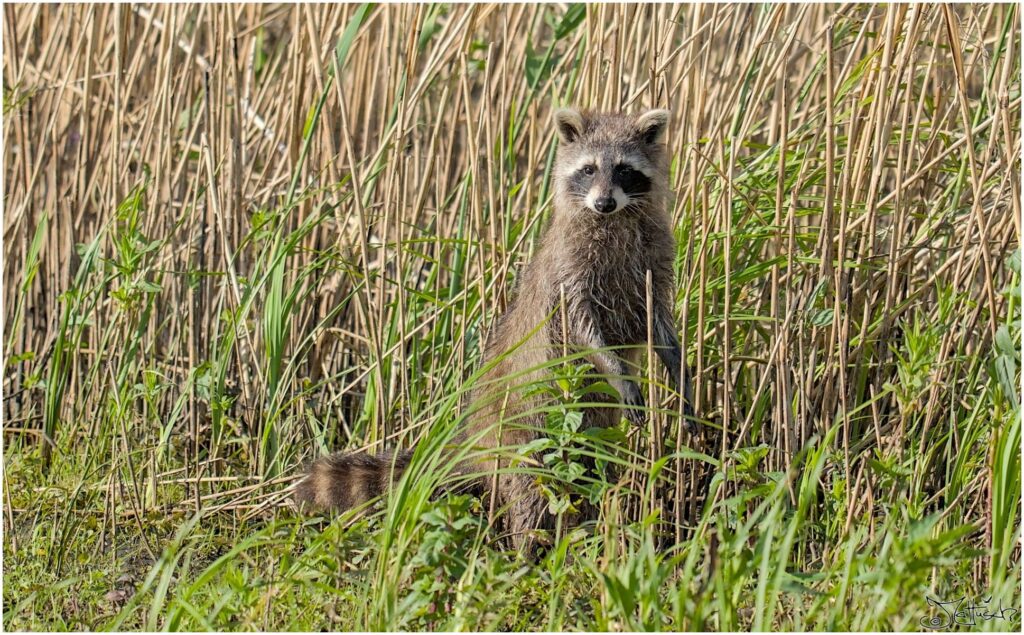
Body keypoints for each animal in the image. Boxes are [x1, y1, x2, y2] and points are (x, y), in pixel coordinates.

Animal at [296, 105, 696, 548]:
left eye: (624, 170)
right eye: (589, 169)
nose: (604, 202)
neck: (617, 219)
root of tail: (479, 439)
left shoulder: (653, 263)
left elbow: (661, 325)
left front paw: (680, 376)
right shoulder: (571, 270)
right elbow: (582, 327)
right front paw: (617, 371)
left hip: (586, 438)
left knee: (592, 475)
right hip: (523, 434)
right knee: (529, 492)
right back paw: (527, 548)